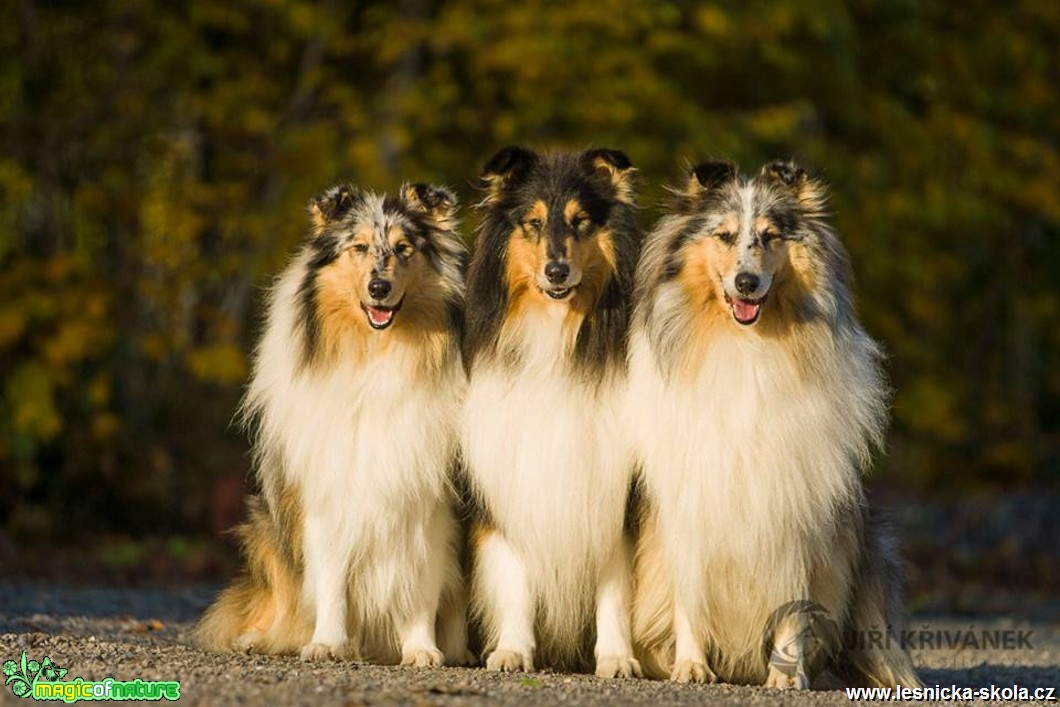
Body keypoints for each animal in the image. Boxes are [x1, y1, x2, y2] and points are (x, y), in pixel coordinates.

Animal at [196, 182, 468, 669]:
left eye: (404, 248)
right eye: (358, 247)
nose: (379, 287)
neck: (376, 356)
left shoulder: (430, 504)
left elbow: (420, 585)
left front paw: (422, 649)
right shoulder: (327, 493)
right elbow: (331, 580)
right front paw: (326, 643)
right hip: (267, 527)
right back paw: (257, 638)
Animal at [466, 146, 644, 678]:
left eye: (581, 222)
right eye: (534, 223)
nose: (557, 272)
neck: (556, 334)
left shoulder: (612, 490)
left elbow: (614, 588)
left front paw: (616, 657)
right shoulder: (512, 481)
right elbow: (515, 578)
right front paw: (512, 650)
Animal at [627, 162, 920, 691]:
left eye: (769, 236)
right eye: (724, 236)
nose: (746, 282)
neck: (746, 344)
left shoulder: (795, 509)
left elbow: (793, 604)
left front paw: (786, 676)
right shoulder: (686, 508)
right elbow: (687, 595)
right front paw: (691, 666)